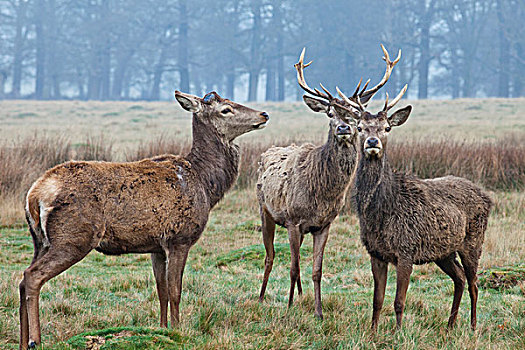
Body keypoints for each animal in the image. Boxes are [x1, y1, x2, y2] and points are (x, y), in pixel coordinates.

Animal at [18, 91, 268, 350]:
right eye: (226, 109)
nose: (264, 114)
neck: (206, 187)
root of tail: (34, 195)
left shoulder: (156, 247)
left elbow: (161, 291)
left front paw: (163, 328)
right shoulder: (179, 238)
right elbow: (175, 290)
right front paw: (178, 330)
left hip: (40, 240)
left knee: (23, 278)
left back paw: (23, 341)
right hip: (74, 237)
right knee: (33, 276)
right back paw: (35, 340)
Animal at [336, 82, 492, 330]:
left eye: (387, 128)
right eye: (359, 127)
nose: (373, 142)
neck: (381, 211)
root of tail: (487, 198)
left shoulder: (406, 249)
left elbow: (399, 301)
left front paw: (398, 332)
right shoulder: (376, 253)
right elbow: (377, 300)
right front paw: (372, 332)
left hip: (473, 241)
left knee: (473, 283)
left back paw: (473, 325)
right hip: (443, 252)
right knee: (459, 277)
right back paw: (450, 324)